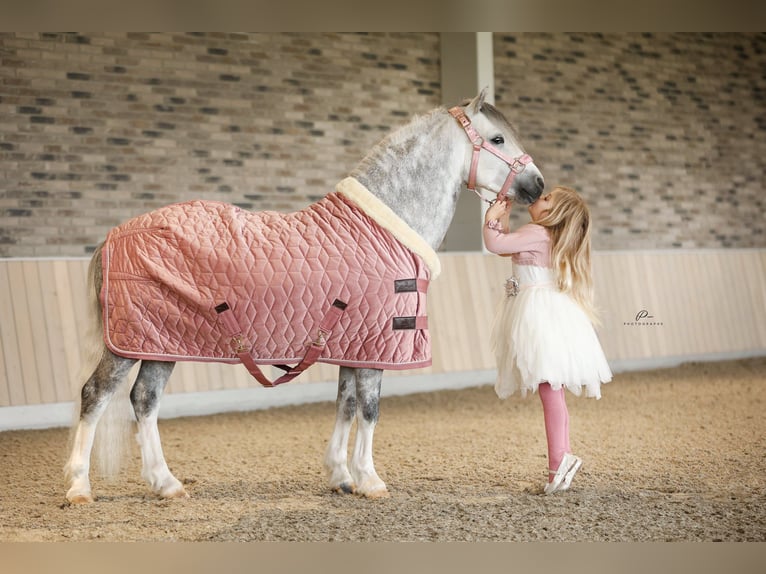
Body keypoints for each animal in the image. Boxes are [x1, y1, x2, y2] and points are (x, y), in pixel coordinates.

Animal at [63, 88, 544, 503]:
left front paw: (341, 475)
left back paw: (166, 483)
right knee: (95, 395)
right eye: (497, 138)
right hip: (127, 344)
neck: (384, 225)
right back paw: (79, 487)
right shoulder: (376, 346)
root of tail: (114, 235)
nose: (537, 184)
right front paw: (370, 479)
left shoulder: (352, 343)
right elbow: (370, 409)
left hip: (160, 344)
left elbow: (346, 405)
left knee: (144, 401)